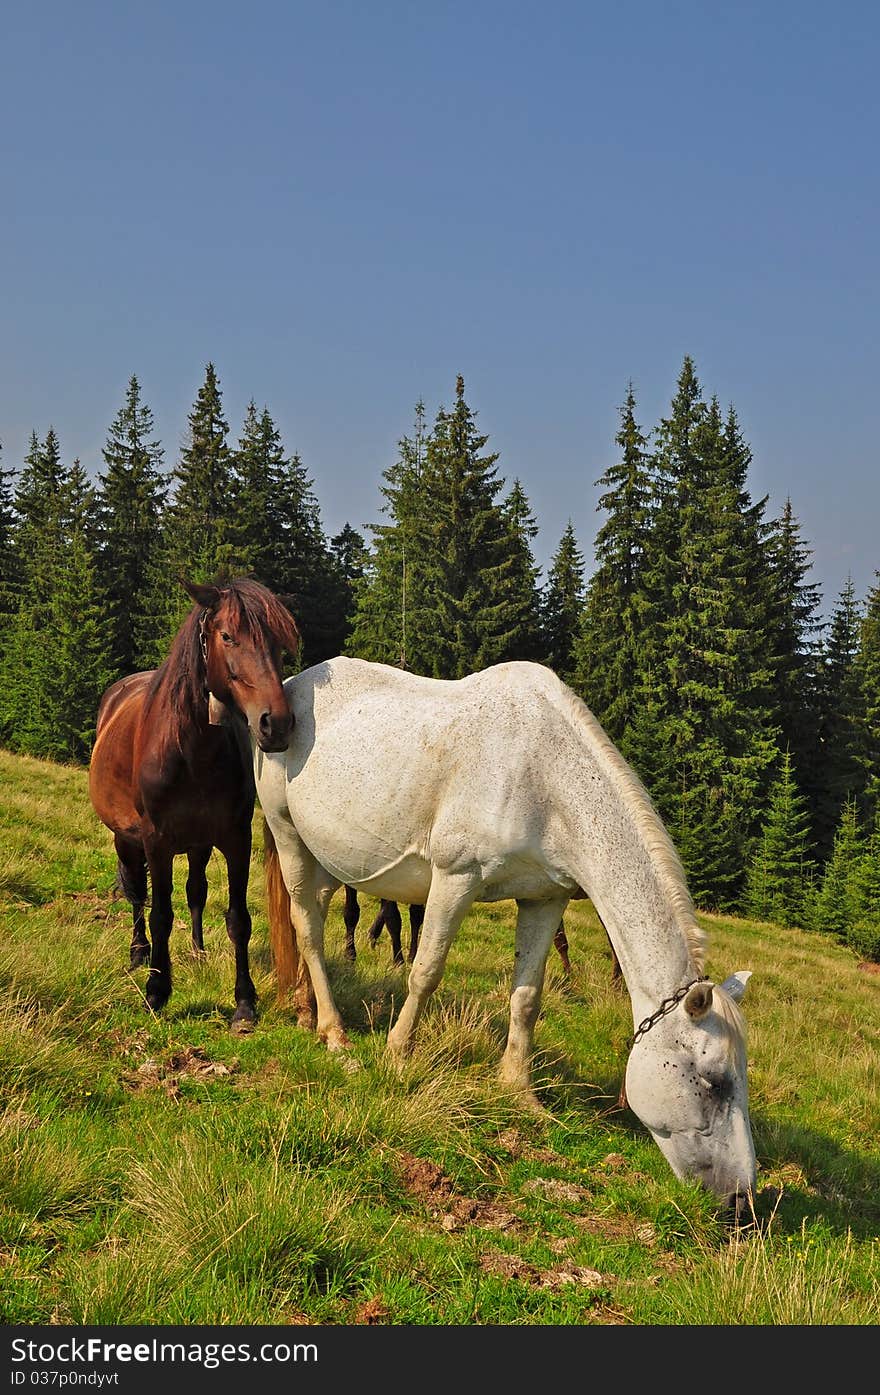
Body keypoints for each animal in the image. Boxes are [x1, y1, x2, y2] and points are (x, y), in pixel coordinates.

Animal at [89, 574, 301, 1026]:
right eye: (227, 636)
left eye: (277, 642)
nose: (277, 724)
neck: (190, 749)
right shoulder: (156, 841)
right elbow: (160, 914)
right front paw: (156, 991)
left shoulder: (235, 839)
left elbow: (237, 918)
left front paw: (244, 1002)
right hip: (126, 839)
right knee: (138, 895)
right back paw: (139, 953)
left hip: (198, 845)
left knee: (196, 891)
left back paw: (198, 949)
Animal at [255, 652, 758, 1210]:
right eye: (712, 1081)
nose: (743, 1202)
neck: (547, 781)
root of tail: (296, 683)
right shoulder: (456, 877)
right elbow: (425, 971)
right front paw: (398, 1057)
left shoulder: (544, 898)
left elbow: (527, 997)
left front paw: (519, 1090)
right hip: (287, 833)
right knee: (307, 929)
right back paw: (334, 1034)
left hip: (326, 858)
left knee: (313, 922)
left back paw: (305, 1009)